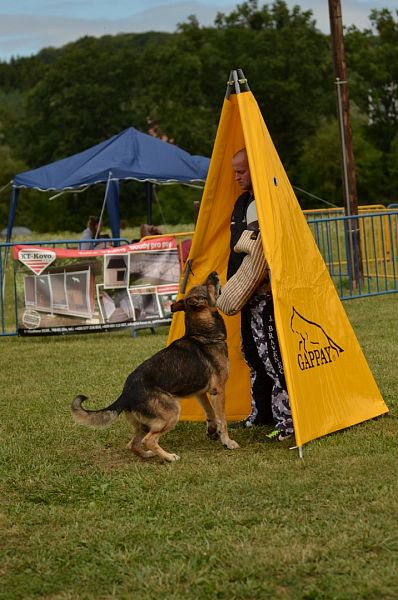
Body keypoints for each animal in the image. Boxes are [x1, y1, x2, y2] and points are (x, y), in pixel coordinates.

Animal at [70, 274, 239, 464]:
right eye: (206, 286)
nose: (215, 274)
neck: (202, 334)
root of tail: (125, 394)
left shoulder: (201, 393)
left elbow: (210, 413)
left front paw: (212, 430)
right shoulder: (218, 391)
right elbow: (222, 419)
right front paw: (227, 441)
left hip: (145, 424)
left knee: (133, 444)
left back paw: (149, 455)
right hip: (172, 412)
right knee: (148, 440)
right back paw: (169, 457)